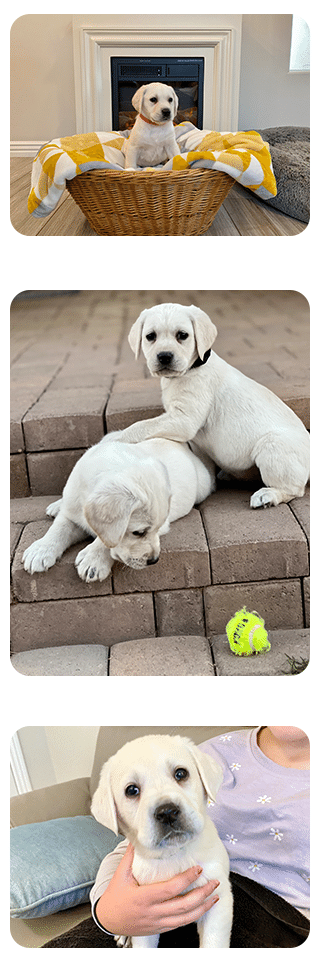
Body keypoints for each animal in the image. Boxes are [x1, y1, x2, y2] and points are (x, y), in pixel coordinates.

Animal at [21, 434, 212, 580]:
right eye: (138, 533)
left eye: (157, 529)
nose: (154, 560)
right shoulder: (72, 511)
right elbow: (59, 528)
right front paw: (40, 550)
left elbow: (106, 540)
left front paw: (93, 559)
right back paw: (56, 506)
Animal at [90, 736, 232, 944]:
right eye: (131, 790)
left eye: (181, 773)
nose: (167, 812)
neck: (175, 854)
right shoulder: (145, 918)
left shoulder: (218, 899)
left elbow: (213, 944)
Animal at [112, 304, 310, 510]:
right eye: (150, 336)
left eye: (182, 335)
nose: (164, 356)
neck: (192, 369)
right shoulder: (197, 442)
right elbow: (204, 468)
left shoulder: (183, 419)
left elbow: (140, 426)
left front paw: (117, 439)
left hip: (273, 445)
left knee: (294, 490)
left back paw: (268, 495)